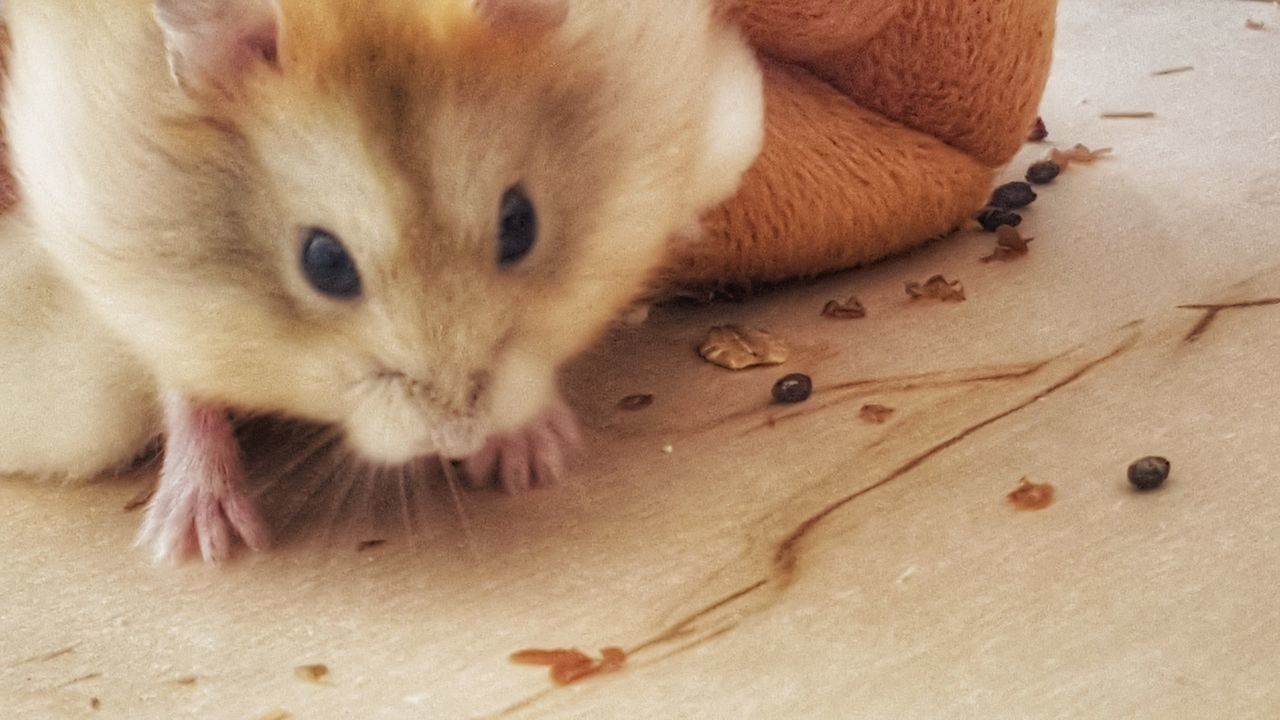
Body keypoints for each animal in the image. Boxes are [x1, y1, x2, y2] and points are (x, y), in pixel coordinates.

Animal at [0, 0, 762, 561]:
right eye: (324, 263)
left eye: (521, 224)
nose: (458, 440)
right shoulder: (139, 278)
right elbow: (183, 383)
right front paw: (201, 546)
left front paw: (530, 462)